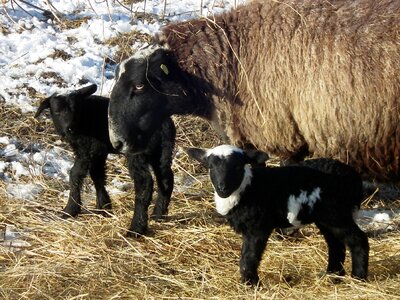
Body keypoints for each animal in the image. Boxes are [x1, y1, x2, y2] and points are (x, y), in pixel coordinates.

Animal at [35, 83, 176, 236]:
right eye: (57, 111)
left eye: (76, 109)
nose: (70, 128)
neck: (85, 117)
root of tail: (163, 124)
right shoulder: (99, 150)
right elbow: (97, 175)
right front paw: (103, 207)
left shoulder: (88, 148)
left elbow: (76, 174)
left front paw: (70, 210)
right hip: (162, 151)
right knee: (166, 178)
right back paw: (158, 214)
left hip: (138, 152)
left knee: (144, 182)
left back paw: (136, 228)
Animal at [186, 145, 370, 286]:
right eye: (211, 167)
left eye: (238, 167)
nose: (222, 188)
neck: (248, 188)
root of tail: (353, 177)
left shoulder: (258, 227)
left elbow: (249, 257)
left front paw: (251, 284)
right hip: (325, 218)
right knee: (336, 244)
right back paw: (332, 275)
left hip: (336, 213)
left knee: (358, 239)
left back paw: (358, 277)